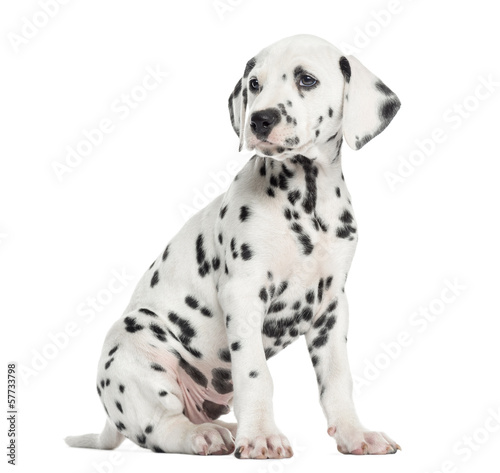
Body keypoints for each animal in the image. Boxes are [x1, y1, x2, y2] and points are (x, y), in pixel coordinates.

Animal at [66, 35, 402, 460]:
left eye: (306, 79)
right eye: (254, 84)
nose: (260, 120)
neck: (306, 198)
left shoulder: (332, 306)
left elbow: (338, 378)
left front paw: (354, 432)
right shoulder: (244, 293)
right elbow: (256, 375)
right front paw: (261, 435)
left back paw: (223, 428)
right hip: (135, 341)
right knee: (162, 425)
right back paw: (204, 435)